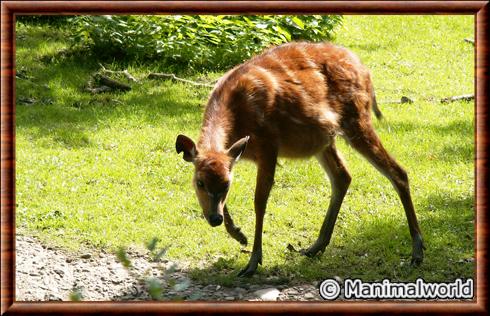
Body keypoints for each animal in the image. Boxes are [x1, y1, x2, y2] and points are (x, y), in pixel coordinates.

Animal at [177, 42, 424, 276]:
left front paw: (253, 262)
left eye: (227, 184)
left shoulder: (268, 145)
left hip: (355, 119)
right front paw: (239, 235)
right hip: (324, 138)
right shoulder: (236, 155)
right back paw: (315, 247)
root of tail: (366, 72)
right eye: (199, 182)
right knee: (342, 176)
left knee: (398, 172)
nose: (214, 219)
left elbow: (259, 201)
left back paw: (417, 251)